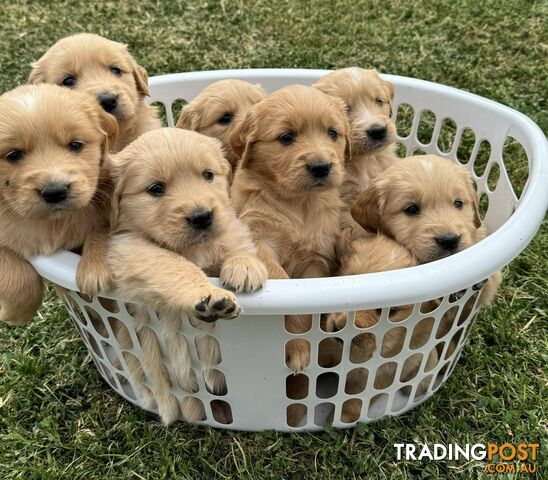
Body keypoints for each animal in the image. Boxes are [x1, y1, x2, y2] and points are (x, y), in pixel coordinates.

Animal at [0, 84, 117, 326]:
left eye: (75, 145)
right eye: (13, 155)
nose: (55, 192)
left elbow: (105, 227)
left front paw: (96, 269)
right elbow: (15, 272)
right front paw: (17, 314)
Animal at [106, 127, 266, 424]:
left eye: (208, 175)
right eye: (156, 189)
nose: (202, 216)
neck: (195, 248)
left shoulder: (230, 225)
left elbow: (235, 240)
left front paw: (244, 265)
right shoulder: (128, 247)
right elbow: (175, 266)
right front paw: (210, 295)